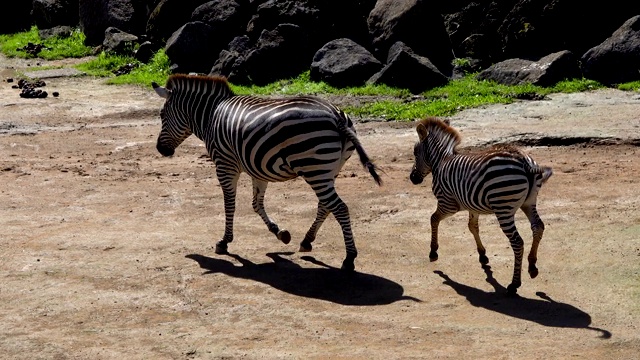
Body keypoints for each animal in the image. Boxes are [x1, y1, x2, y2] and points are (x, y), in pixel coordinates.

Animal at [151, 72, 380, 270]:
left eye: (162, 115)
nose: (161, 150)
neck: (211, 115)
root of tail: (336, 115)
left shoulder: (225, 164)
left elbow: (229, 204)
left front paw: (224, 241)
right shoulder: (257, 167)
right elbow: (256, 203)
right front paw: (280, 233)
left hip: (314, 167)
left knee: (339, 208)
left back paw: (349, 259)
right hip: (330, 169)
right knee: (325, 205)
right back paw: (306, 241)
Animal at [410, 116, 556, 294]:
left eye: (415, 153)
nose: (412, 179)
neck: (441, 162)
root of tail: (524, 161)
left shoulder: (448, 203)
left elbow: (433, 219)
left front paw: (433, 252)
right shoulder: (473, 204)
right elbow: (472, 227)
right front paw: (482, 255)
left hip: (503, 208)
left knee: (517, 242)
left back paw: (514, 284)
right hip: (529, 202)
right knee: (538, 227)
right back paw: (532, 266)